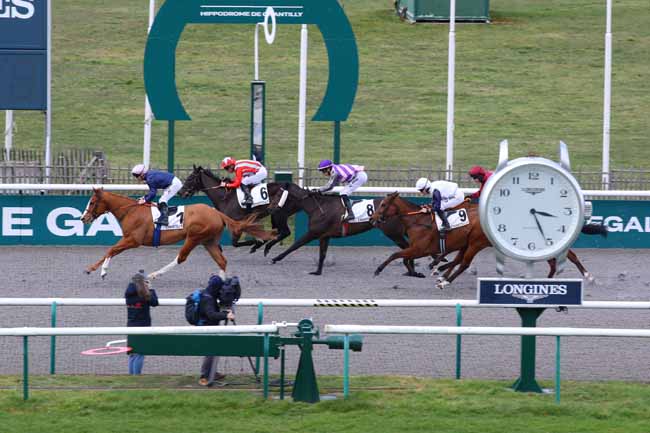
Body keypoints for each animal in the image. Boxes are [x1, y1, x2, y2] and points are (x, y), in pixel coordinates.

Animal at [79, 189, 274, 280]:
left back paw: (154, 274)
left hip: (194, 237)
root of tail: (216, 212)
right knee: (222, 261)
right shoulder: (128, 239)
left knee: (181, 258)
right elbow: (109, 251)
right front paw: (90, 269)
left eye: (93, 202)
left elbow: (111, 250)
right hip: (208, 241)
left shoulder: (133, 240)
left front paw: (103, 271)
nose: (83, 218)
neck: (132, 211)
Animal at [266, 183, 422, 276]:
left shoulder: (313, 233)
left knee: (409, 248)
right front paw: (317, 271)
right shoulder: (324, 236)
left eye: (278, 195)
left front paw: (274, 257)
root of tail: (403, 207)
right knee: (409, 248)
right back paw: (411, 271)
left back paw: (412, 270)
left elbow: (295, 245)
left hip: (393, 233)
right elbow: (322, 254)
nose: (270, 207)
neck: (319, 207)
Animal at [372, 192, 600, 286]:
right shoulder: (423, 249)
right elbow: (403, 257)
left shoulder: (420, 248)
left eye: (383, 204)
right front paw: (418, 271)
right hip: (471, 242)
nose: (374, 219)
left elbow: (396, 255)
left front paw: (379, 269)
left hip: (476, 242)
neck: (417, 221)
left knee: (464, 262)